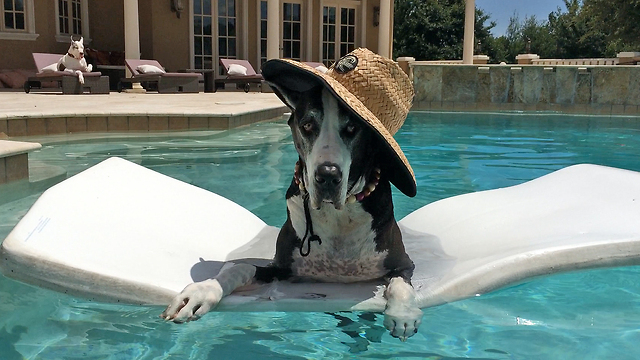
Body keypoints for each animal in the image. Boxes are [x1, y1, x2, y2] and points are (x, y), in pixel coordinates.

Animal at [162, 49, 422, 342]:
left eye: (353, 128)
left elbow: (401, 285)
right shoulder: (282, 267)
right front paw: (202, 291)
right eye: (307, 125)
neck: (337, 214)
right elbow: (238, 267)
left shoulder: (403, 264)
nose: (328, 175)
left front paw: (403, 313)